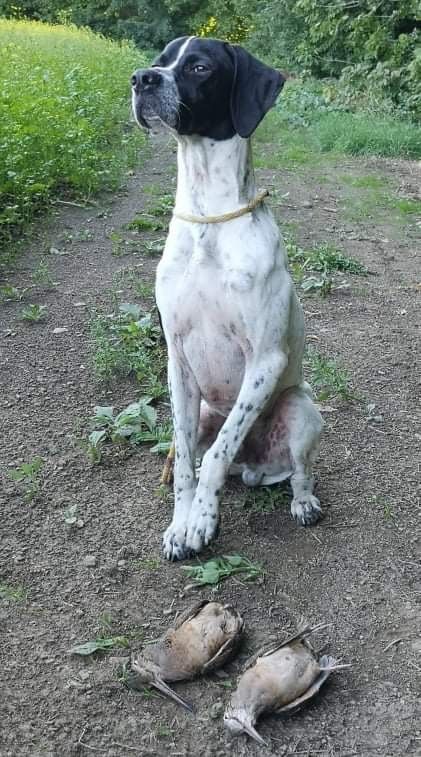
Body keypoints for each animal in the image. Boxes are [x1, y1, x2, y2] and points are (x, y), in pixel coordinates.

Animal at [131, 37, 322, 560]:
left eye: (200, 67)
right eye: (160, 59)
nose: (140, 79)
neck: (208, 222)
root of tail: (253, 465)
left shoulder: (265, 360)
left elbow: (218, 454)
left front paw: (202, 522)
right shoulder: (177, 359)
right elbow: (184, 464)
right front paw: (181, 523)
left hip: (303, 410)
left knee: (298, 471)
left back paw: (304, 502)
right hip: (202, 414)